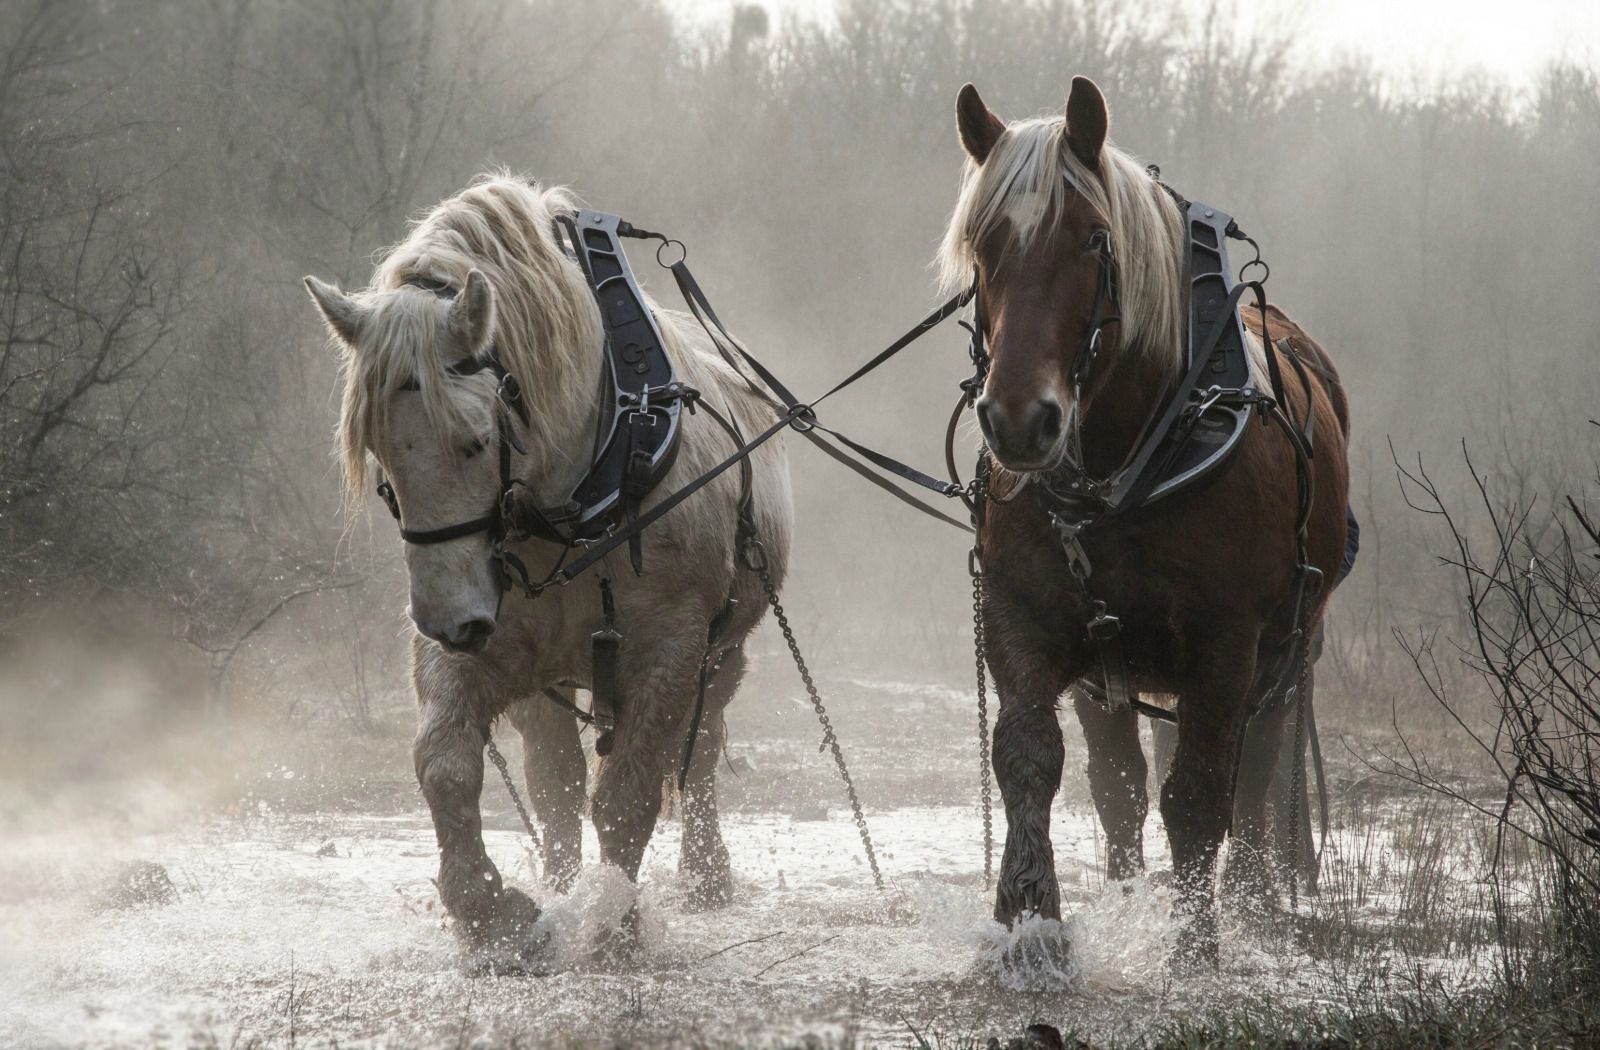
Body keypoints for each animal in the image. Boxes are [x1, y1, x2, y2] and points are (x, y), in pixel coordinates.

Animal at [304, 174, 792, 971]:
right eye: (379, 454)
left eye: (475, 442)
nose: (447, 622)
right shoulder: (488, 638)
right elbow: (448, 765)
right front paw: (491, 913)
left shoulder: (671, 649)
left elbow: (627, 797)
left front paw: (612, 923)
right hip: (549, 674)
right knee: (555, 777)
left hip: (724, 652)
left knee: (700, 752)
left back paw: (704, 874)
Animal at [940, 78, 1350, 965]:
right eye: (984, 243)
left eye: (1095, 240)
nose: (1018, 421)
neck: (1125, 472)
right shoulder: (1024, 621)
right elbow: (1031, 760)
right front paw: (1030, 927)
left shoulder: (1225, 645)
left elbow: (1199, 797)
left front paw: (1196, 949)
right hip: (1112, 675)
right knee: (1119, 787)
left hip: (1289, 649)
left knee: (1256, 773)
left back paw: (1254, 903)